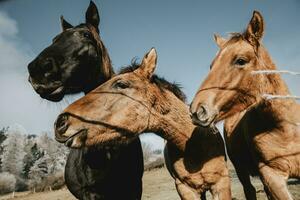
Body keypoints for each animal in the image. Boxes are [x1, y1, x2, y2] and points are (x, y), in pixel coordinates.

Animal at [191, 10, 298, 200]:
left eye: (240, 60)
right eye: (211, 65)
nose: (197, 110)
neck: (286, 130)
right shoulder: (272, 177)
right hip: (241, 171)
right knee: (250, 190)